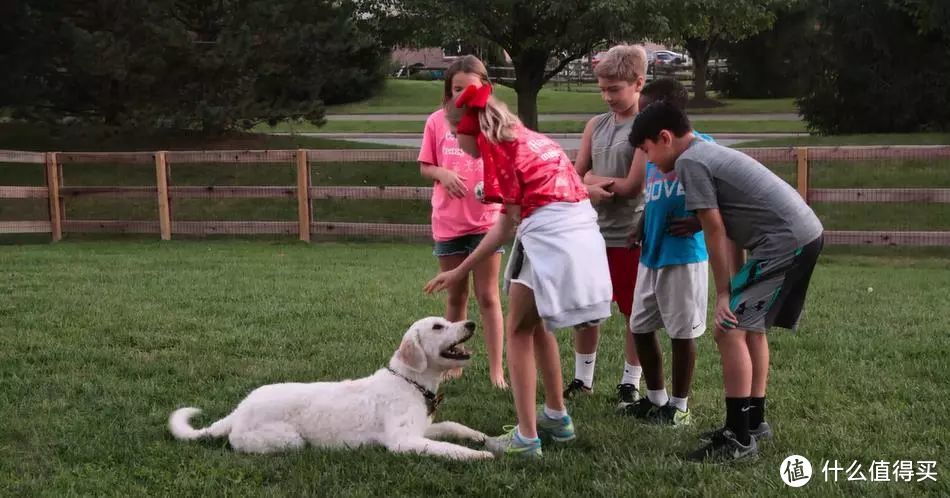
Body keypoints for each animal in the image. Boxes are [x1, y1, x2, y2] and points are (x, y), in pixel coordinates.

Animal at [168, 318, 494, 462]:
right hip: (290, 440)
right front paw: (478, 455)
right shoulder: (403, 441)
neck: (408, 381)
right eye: (438, 326)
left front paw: (479, 437)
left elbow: (453, 426)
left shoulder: (421, 430)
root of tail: (238, 410)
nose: (470, 322)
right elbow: (449, 449)